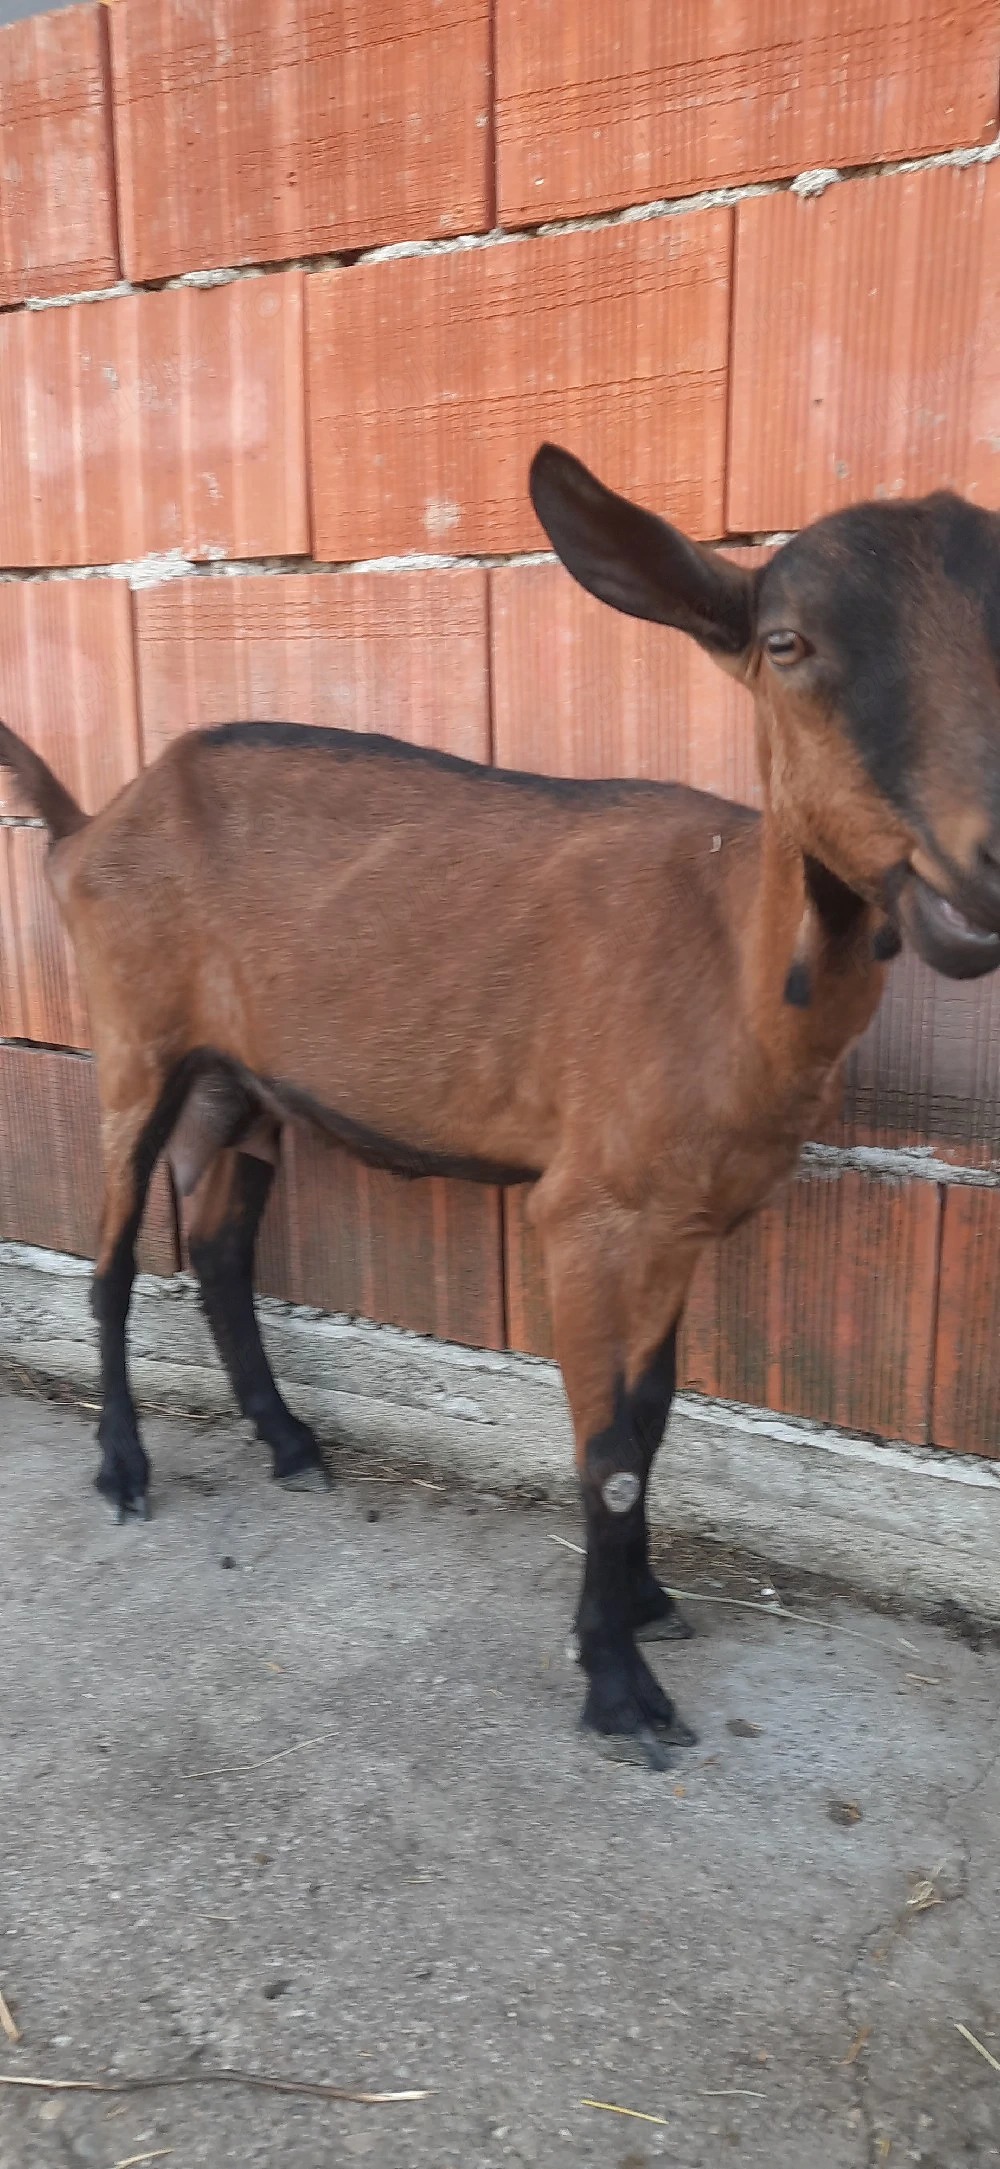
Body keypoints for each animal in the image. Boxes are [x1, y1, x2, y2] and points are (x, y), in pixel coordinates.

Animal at [3, 444, 1000, 1771]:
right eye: (786, 643)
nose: (985, 869)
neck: (734, 958)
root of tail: (84, 829)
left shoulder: (680, 1219)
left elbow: (651, 1418)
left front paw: (640, 1603)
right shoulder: (583, 1214)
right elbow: (608, 1453)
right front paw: (616, 1685)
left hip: (243, 1084)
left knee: (216, 1249)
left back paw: (290, 1444)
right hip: (133, 1044)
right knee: (112, 1258)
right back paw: (122, 1470)